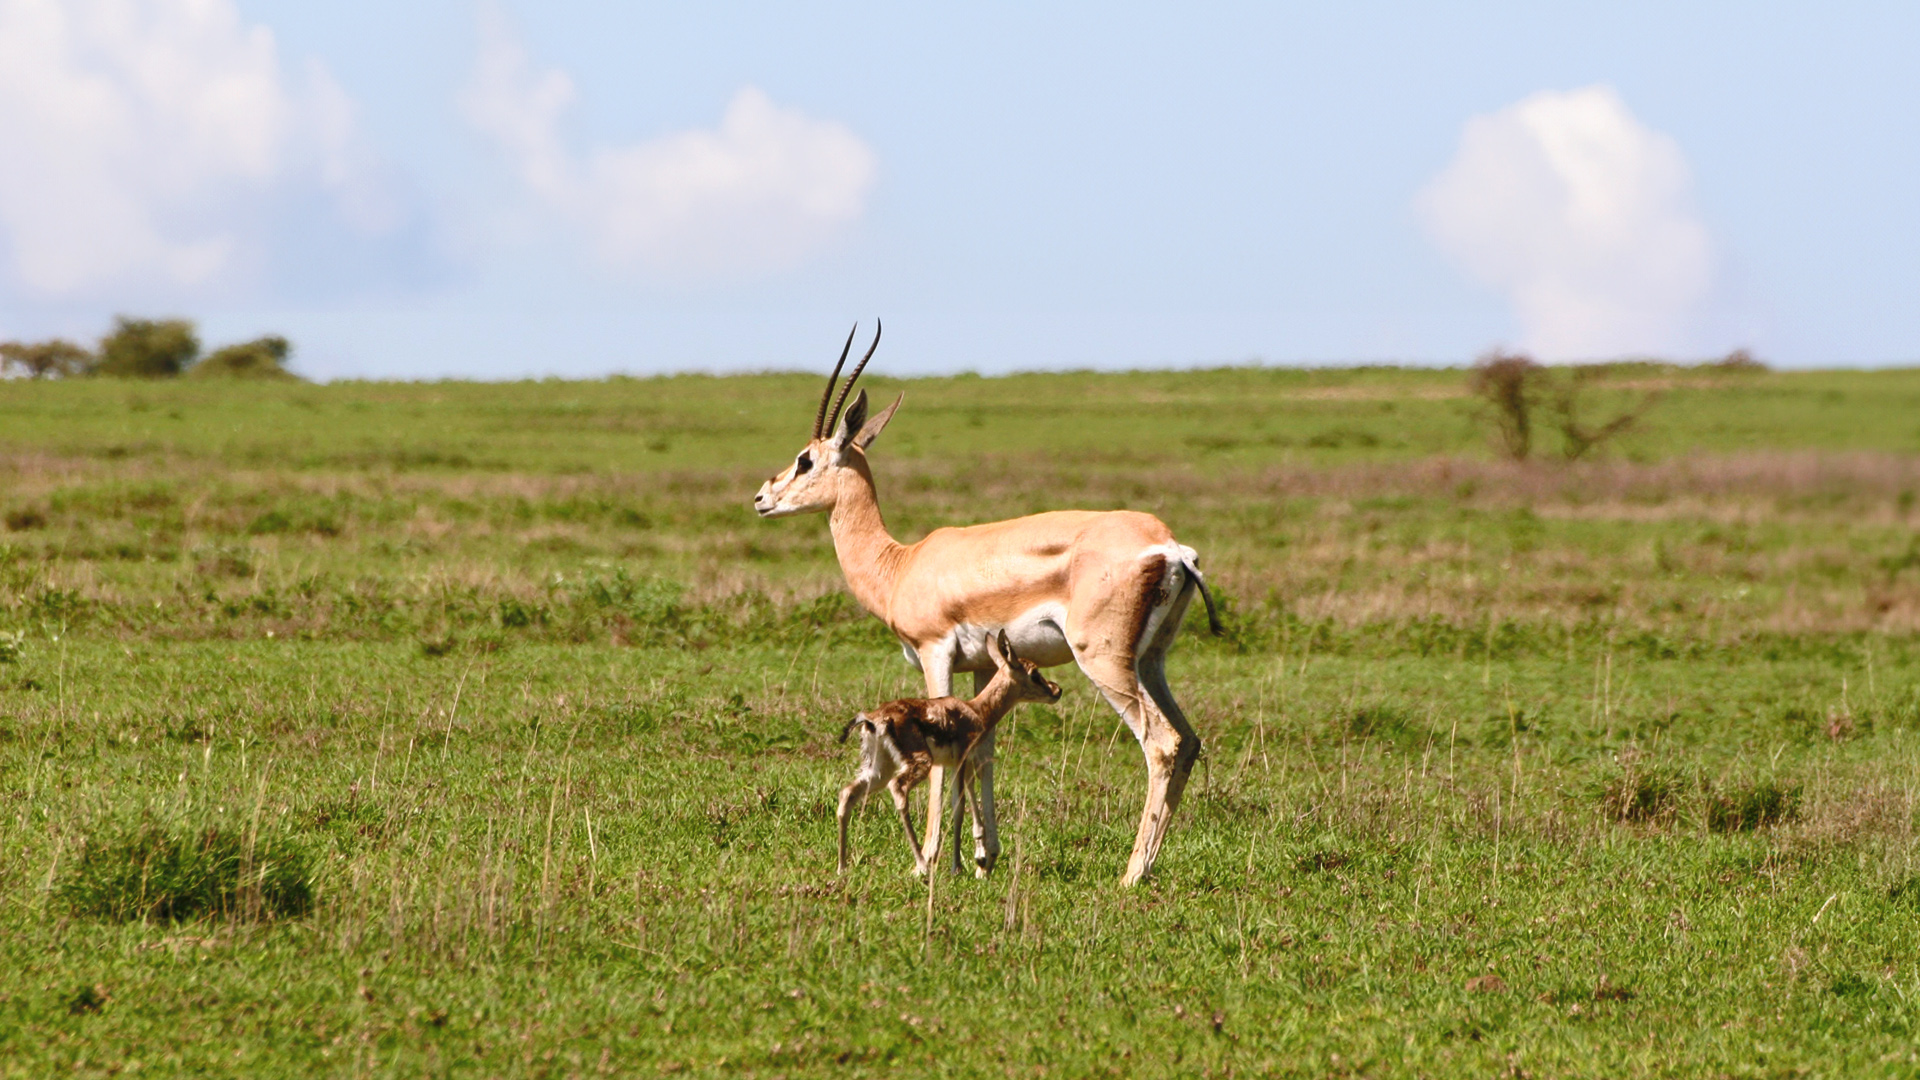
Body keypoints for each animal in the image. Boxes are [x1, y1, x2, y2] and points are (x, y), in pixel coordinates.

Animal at [837, 629, 1063, 875]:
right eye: (1034, 673)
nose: (1056, 690)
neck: (976, 711)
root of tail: (872, 719)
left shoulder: (956, 764)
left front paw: (974, 861)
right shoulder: (962, 759)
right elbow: (958, 807)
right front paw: (960, 867)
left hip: (879, 768)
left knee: (848, 793)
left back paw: (842, 867)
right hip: (918, 763)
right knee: (898, 788)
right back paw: (922, 866)